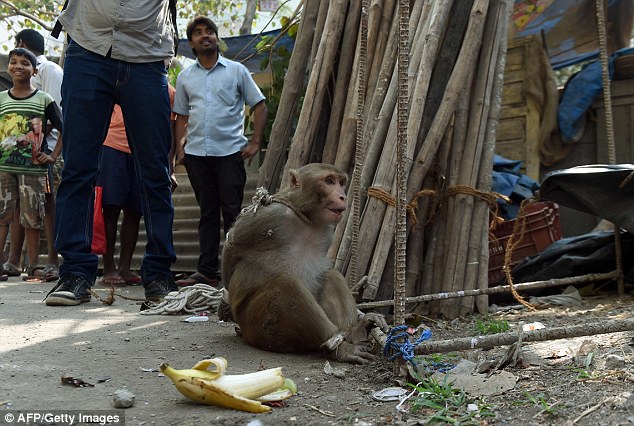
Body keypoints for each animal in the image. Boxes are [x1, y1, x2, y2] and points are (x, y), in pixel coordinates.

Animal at [217, 162, 386, 362]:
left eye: (341, 182)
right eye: (329, 181)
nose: (342, 196)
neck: (306, 218)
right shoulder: (269, 215)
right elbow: (232, 246)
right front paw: (226, 304)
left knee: (331, 275)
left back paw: (354, 333)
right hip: (258, 324)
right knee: (288, 285)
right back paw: (340, 348)